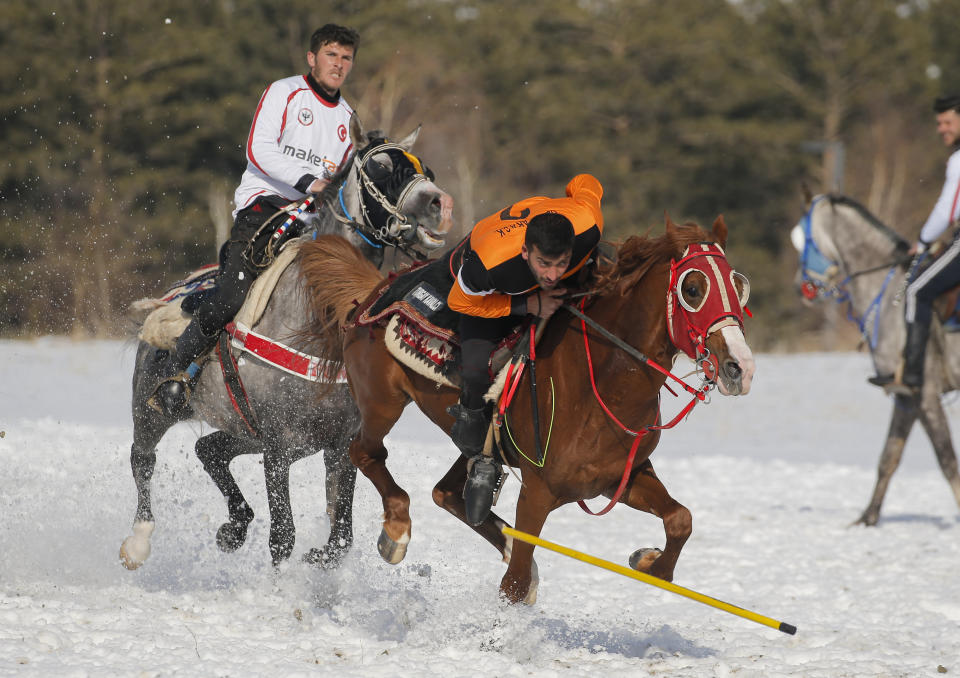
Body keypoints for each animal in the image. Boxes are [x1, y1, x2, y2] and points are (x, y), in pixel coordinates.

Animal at [120, 115, 454, 568]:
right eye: (381, 168)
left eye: (428, 171)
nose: (440, 204)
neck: (318, 321)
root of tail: (173, 293)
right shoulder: (278, 446)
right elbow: (283, 535)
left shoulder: (338, 443)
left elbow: (340, 538)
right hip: (152, 408)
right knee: (143, 459)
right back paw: (138, 541)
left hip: (245, 432)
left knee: (209, 449)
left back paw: (234, 526)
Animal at [304, 218, 752, 604]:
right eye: (692, 288)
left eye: (738, 285)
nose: (740, 368)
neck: (601, 383)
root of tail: (376, 291)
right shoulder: (538, 492)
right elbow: (514, 586)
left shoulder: (620, 479)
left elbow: (681, 519)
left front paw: (649, 561)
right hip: (383, 402)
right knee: (365, 453)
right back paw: (395, 532)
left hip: (479, 446)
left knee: (448, 492)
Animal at [792, 194, 960, 528]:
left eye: (803, 237)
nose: (800, 287)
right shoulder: (905, 397)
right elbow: (889, 457)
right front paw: (867, 518)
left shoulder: (925, 395)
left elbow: (947, 460)